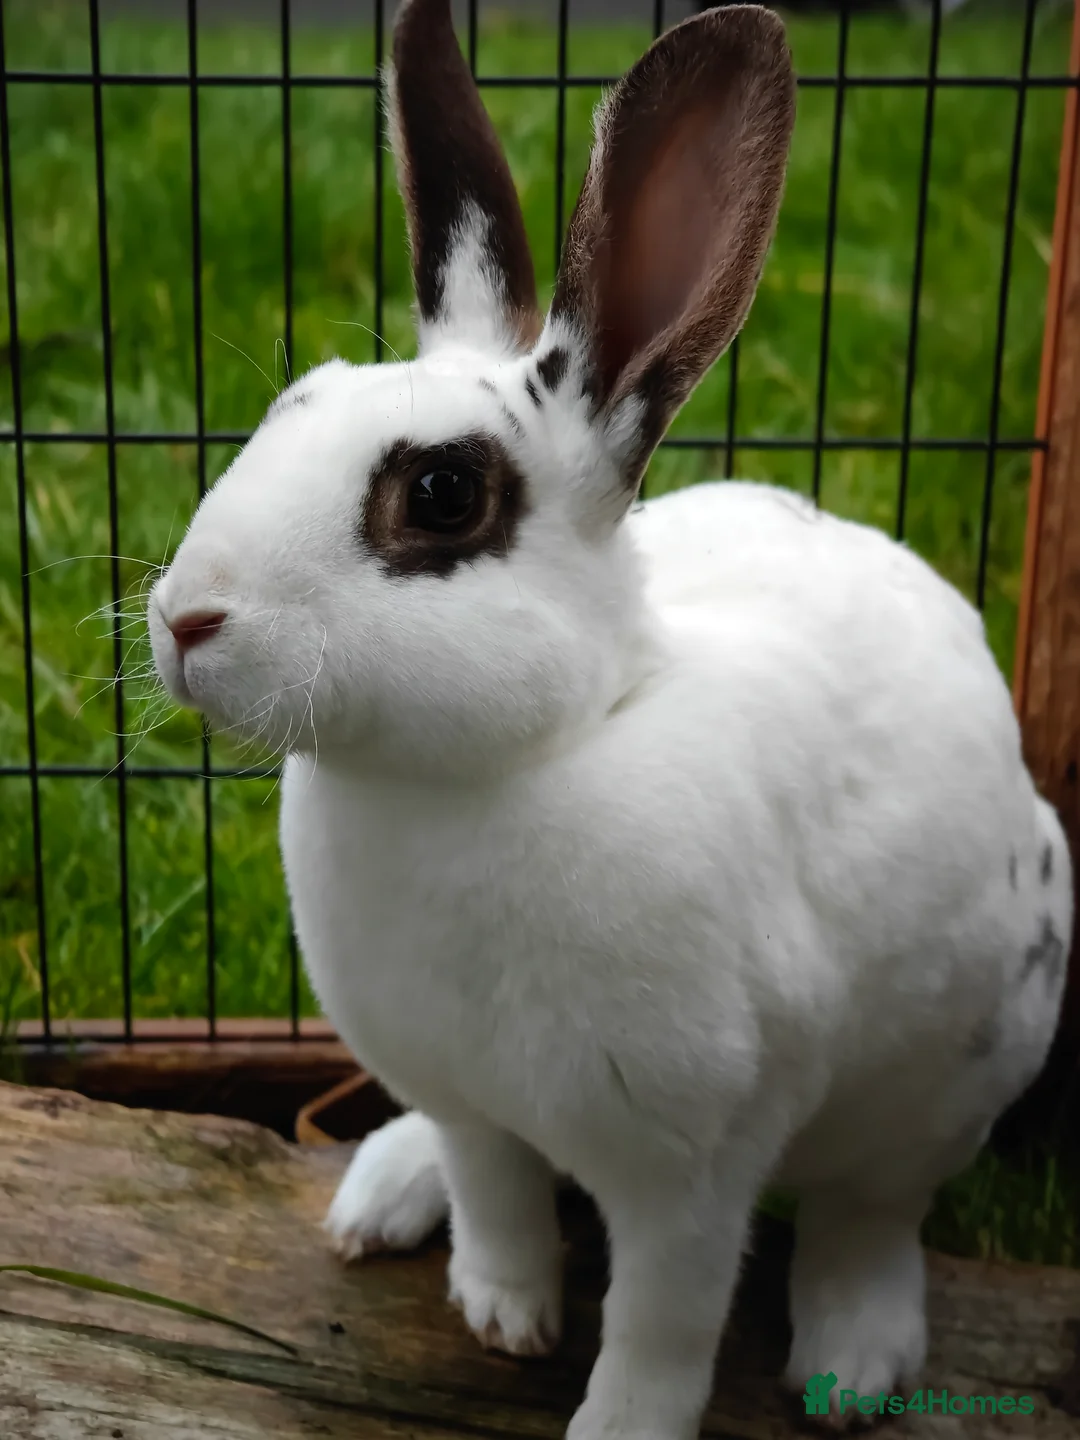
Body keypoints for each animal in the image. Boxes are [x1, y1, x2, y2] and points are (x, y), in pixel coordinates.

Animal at [147, 2, 1072, 1435]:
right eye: (290, 405)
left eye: (444, 492)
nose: (187, 618)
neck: (502, 767)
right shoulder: (466, 1096)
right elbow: (497, 1195)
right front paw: (502, 1311)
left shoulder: (690, 1168)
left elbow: (662, 1322)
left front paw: (612, 1418)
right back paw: (382, 1194)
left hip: (958, 1070)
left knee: (871, 1210)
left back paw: (853, 1364)